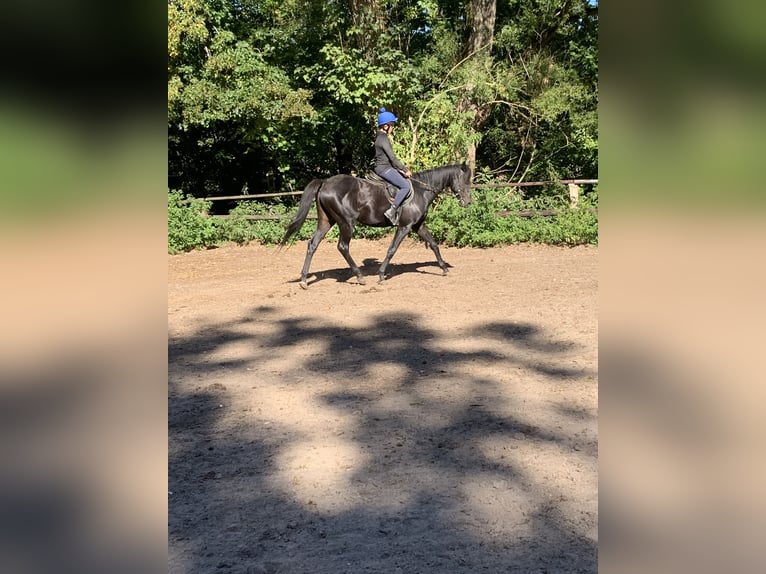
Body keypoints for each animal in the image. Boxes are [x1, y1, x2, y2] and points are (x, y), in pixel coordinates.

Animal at [280, 163, 472, 288]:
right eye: (465, 181)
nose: (468, 202)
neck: (421, 191)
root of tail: (325, 182)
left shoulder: (418, 225)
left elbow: (433, 244)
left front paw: (444, 268)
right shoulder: (405, 227)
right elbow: (392, 249)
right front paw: (381, 275)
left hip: (326, 222)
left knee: (312, 244)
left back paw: (304, 280)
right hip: (346, 223)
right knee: (343, 247)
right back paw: (360, 277)